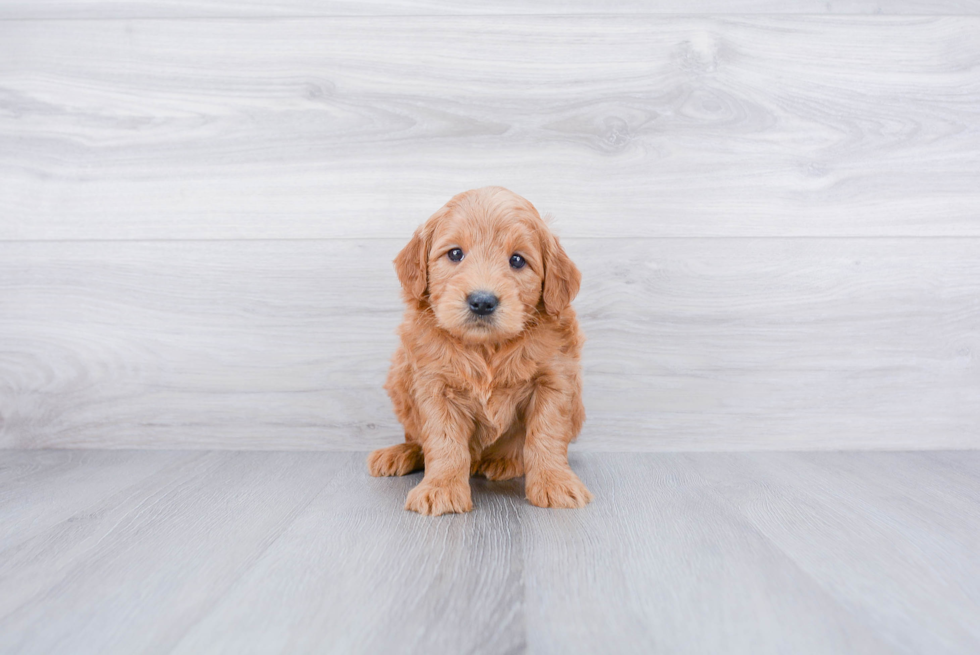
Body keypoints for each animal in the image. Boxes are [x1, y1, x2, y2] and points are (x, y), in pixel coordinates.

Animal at [364, 187, 588, 516]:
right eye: (455, 254)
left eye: (517, 260)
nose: (482, 301)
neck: (486, 348)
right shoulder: (435, 386)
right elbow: (444, 441)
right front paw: (441, 488)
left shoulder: (554, 380)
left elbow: (546, 434)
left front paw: (555, 482)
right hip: (399, 379)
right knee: (417, 438)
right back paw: (400, 453)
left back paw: (503, 461)